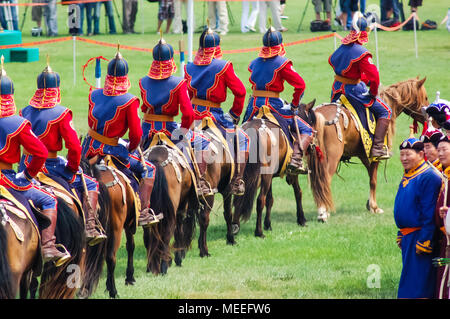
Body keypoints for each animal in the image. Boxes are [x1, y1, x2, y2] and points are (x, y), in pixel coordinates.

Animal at [306, 78, 428, 222]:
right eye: (426, 97)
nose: (428, 117)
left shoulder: (364, 155)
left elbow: (370, 177)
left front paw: (370, 204)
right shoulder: (375, 156)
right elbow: (373, 180)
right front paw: (375, 207)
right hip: (332, 158)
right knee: (325, 181)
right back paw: (323, 212)